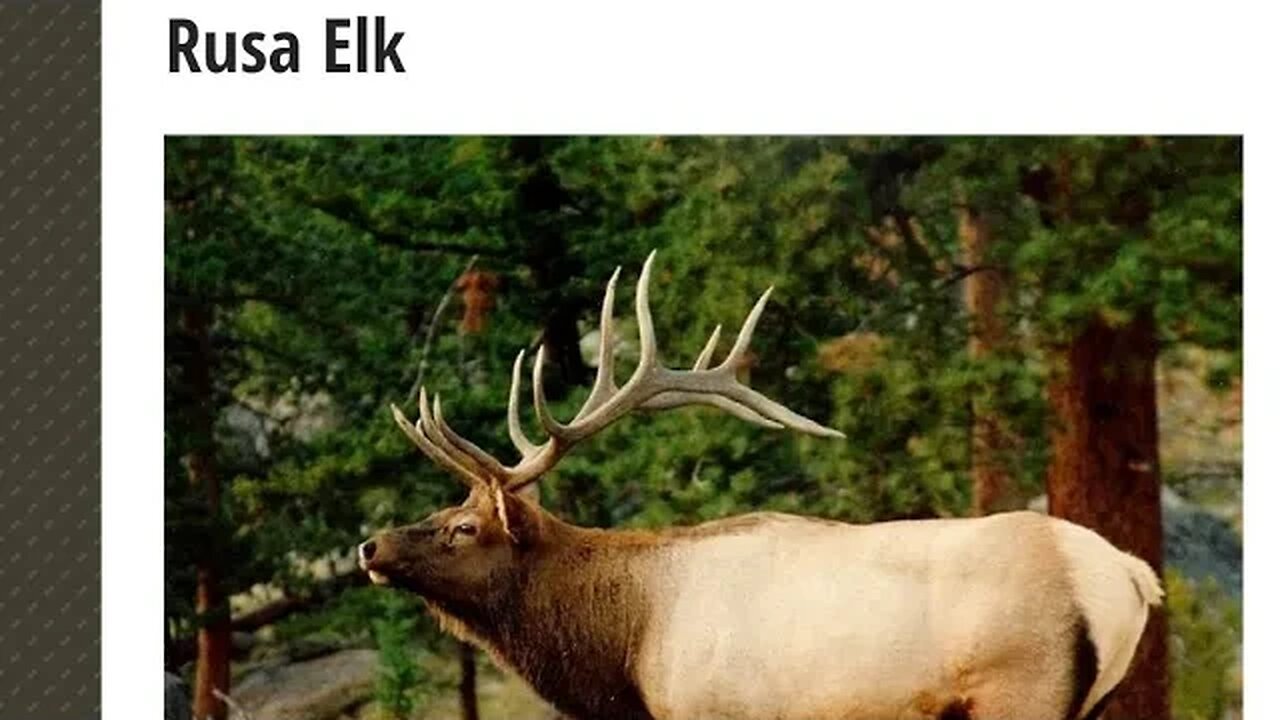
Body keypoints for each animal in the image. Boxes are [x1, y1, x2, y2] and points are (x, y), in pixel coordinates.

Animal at [358, 251, 1163, 720]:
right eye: (447, 506)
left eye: (465, 527)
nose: (371, 546)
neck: (627, 652)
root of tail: (1129, 576)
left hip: (1020, 686)